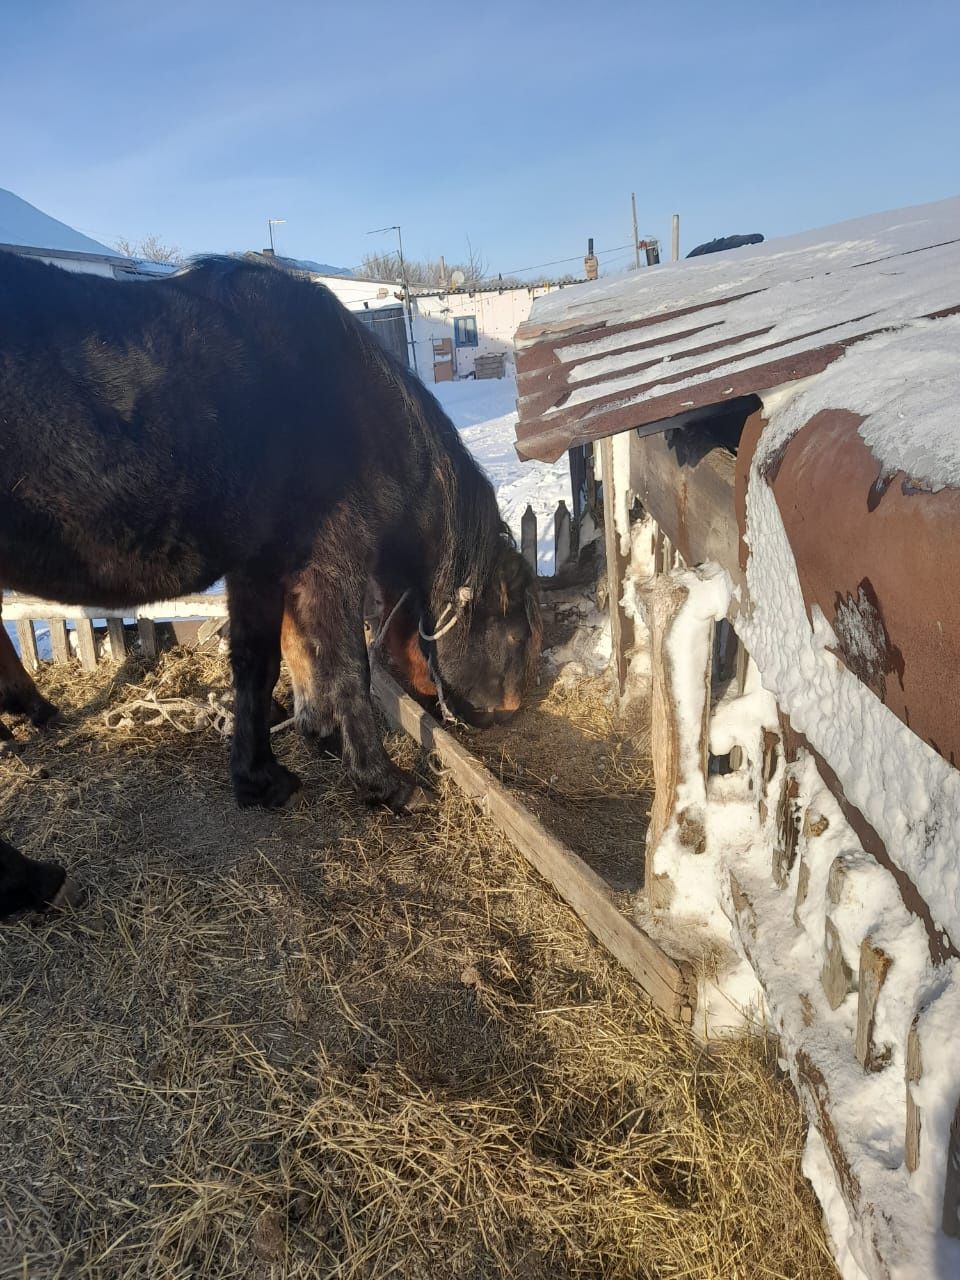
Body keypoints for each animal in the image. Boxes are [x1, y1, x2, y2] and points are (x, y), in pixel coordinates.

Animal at [0, 249, 542, 916]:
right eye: (519, 636)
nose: (505, 716)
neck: (353, 408)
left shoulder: (258, 565)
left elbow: (260, 664)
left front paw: (263, 774)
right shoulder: (331, 562)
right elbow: (348, 669)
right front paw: (383, 783)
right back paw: (32, 879)